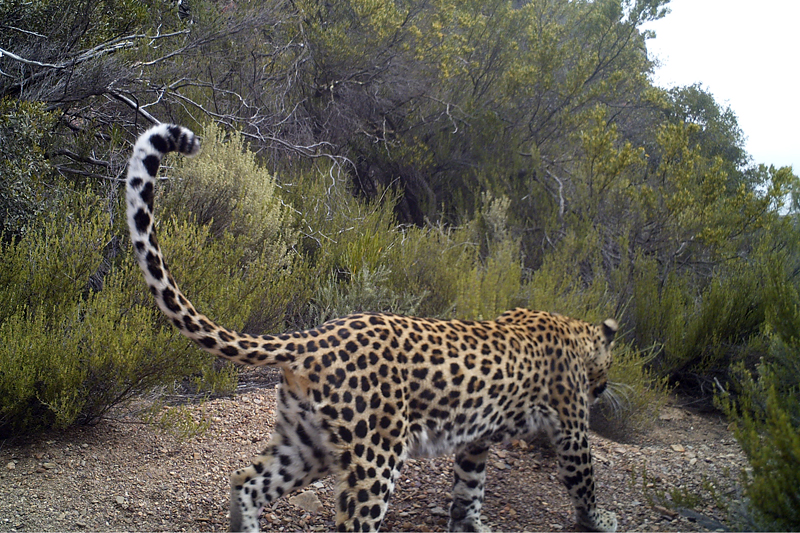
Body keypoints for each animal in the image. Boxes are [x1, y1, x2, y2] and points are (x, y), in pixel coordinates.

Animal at [128, 122, 620, 528]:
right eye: (608, 368)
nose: (601, 389)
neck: (575, 333)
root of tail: (313, 337)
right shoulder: (572, 428)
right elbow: (584, 481)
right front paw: (599, 520)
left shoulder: (476, 440)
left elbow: (470, 488)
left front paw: (471, 525)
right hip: (376, 457)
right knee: (350, 521)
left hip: (305, 443)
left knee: (246, 482)